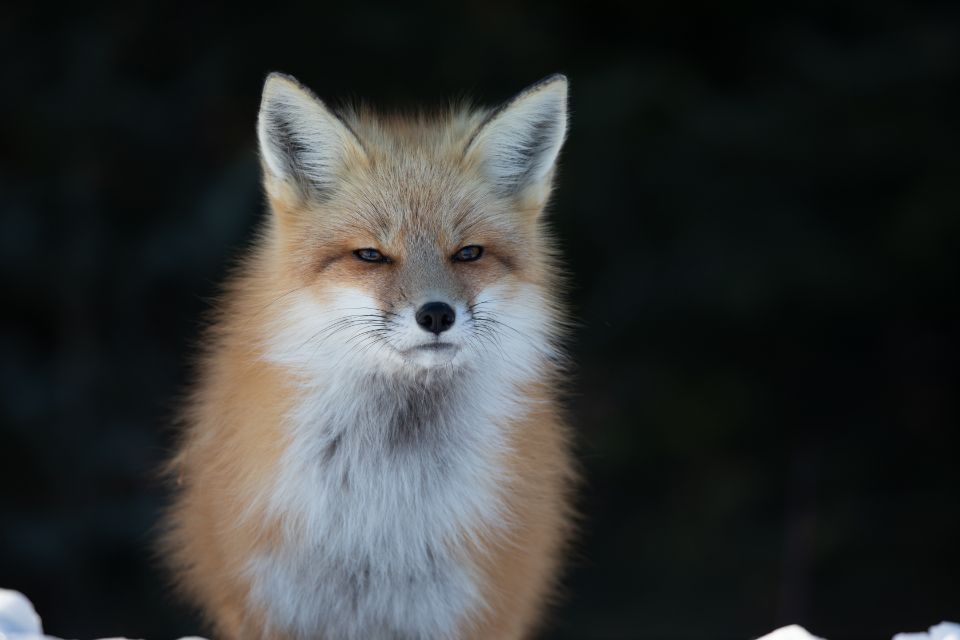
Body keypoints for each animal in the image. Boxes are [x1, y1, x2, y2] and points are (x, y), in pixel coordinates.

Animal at [162, 72, 576, 640]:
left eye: (468, 253)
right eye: (371, 255)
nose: (436, 314)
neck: (380, 518)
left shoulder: (475, 606)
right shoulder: (266, 602)